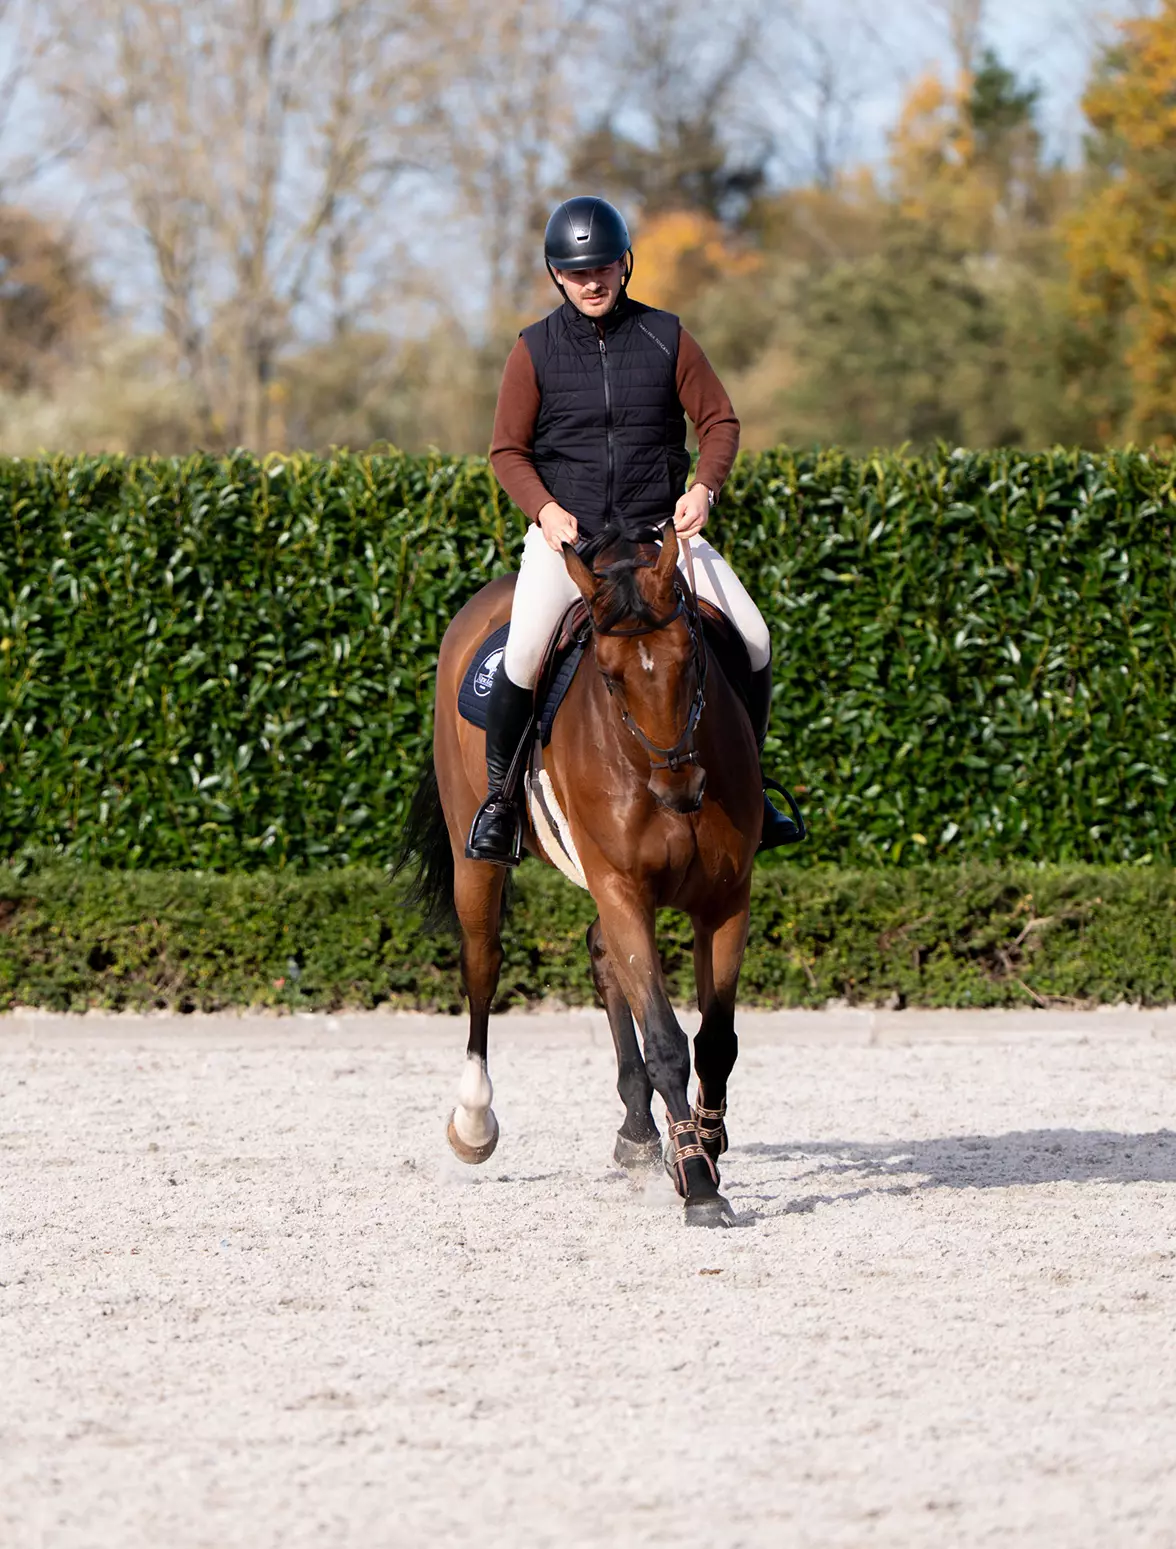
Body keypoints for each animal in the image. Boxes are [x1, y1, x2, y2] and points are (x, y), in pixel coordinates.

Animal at [397, 521, 762, 1227]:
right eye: (611, 679)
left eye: (692, 659)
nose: (680, 790)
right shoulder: (622, 888)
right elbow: (667, 1041)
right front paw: (697, 1181)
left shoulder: (726, 899)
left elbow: (716, 1041)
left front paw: (701, 1148)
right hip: (475, 863)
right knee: (483, 965)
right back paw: (474, 1122)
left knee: (602, 955)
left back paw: (640, 1133)